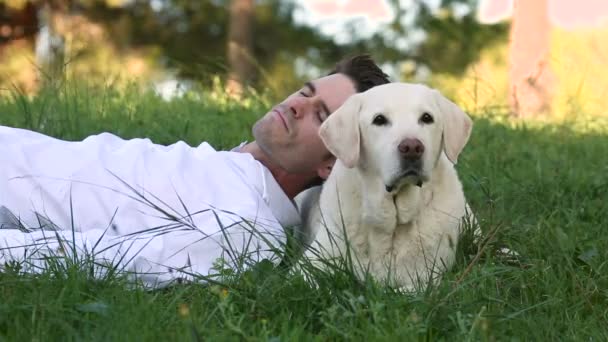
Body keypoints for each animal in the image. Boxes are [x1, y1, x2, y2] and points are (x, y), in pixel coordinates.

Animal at [296, 82, 472, 288]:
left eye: (427, 118)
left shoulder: (427, 276)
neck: (391, 223)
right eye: (379, 120)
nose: (412, 148)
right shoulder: (308, 263)